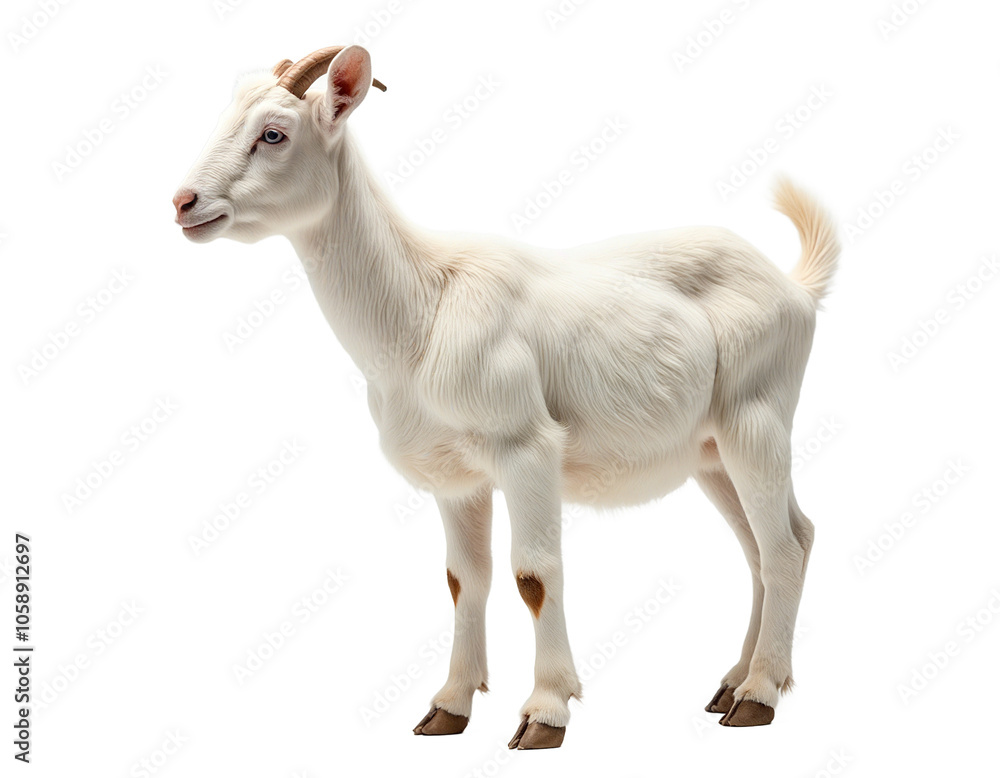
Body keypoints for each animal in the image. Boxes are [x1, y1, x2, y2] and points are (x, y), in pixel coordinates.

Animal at [173, 45, 839, 749]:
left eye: (273, 134)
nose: (184, 201)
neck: (423, 306)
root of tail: (795, 287)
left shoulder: (526, 447)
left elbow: (534, 574)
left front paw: (545, 712)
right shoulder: (454, 476)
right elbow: (464, 578)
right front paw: (448, 706)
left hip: (756, 420)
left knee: (782, 548)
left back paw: (759, 695)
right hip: (710, 452)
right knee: (771, 544)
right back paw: (733, 683)